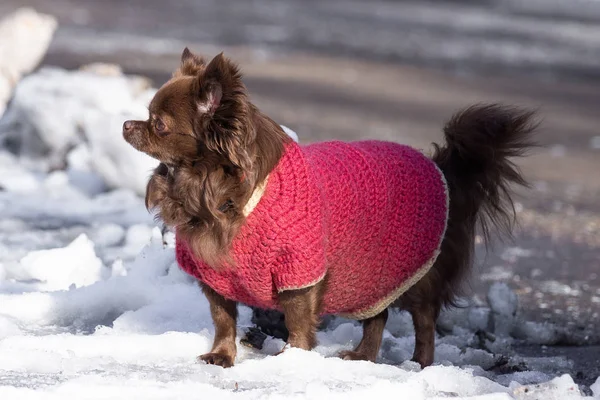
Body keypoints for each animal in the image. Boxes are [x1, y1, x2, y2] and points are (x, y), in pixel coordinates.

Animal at [120, 49, 536, 368]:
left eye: (158, 124)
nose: (126, 124)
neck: (217, 194)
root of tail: (441, 168)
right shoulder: (214, 278)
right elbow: (224, 320)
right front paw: (222, 357)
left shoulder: (299, 271)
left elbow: (298, 322)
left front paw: (293, 358)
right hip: (370, 274)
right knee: (378, 316)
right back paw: (362, 356)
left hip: (416, 275)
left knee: (424, 321)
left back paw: (419, 363)